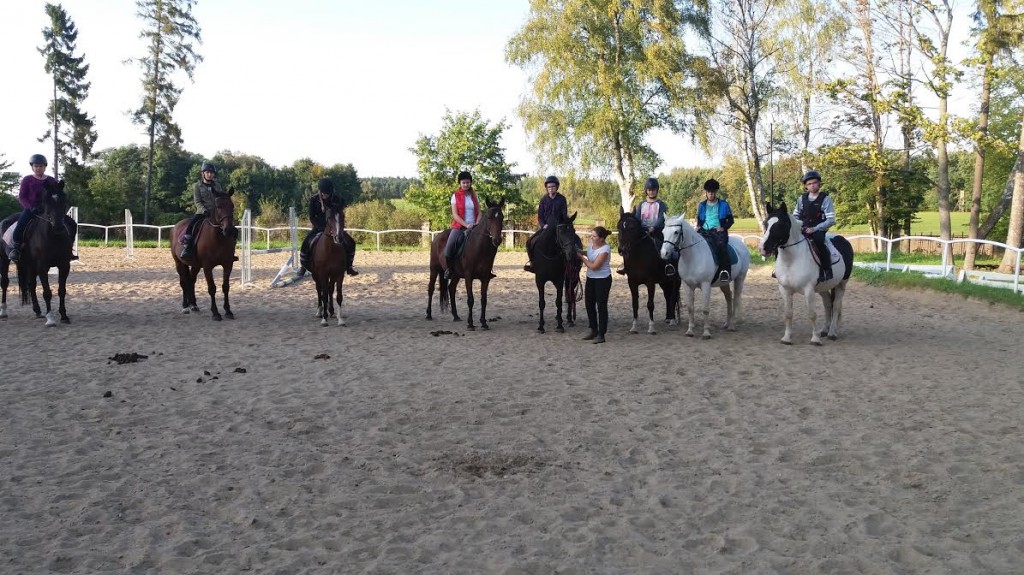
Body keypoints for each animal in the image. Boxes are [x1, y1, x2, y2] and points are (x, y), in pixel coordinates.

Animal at [0, 183, 74, 326]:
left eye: (63, 199)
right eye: (46, 201)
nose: (58, 226)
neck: (53, 236)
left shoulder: (64, 265)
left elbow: (62, 290)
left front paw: (64, 316)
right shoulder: (42, 266)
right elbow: (47, 292)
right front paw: (50, 319)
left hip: (28, 264)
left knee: (31, 284)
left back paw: (38, 311)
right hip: (4, 260)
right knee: (5, 282)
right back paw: (3, 312)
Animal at [170, 190, 238, 321]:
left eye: (232, 206)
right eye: (218, 206)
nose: (228, 230)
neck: (218, 238)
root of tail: (176, 227)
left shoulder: (228, 265)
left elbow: (226, 287)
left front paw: (228, 311)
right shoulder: (207, 267)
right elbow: (212, 288)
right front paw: (215, 313)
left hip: (195, 265)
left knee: (191, 281)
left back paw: (193, 305)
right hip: (179, 263)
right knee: (183, 282)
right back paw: (185, 307)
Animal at [426, 199, 505, 331]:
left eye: (502, 217)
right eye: (489, 217)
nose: (497, 240)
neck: (480, 248)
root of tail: (437, 237)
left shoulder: (485, 278)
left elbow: (484, 300)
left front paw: (483, 323)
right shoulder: (468, 276)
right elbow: (470, 299)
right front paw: (470, 324)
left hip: (456, 275)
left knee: (451, 289)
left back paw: (456, 316)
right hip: (434, 269)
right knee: (431, 289)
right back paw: (428, 314)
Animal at [759, 202, 855, 345]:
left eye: (781, 224)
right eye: (766, 223)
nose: (763, 248)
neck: (791, 261)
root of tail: (844, 240)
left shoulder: (808, 290)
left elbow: (812, 314)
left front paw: (815, 339)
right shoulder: (784, 289)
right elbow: (788, 313)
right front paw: (787, 338)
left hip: (841, 284)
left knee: (836, 306)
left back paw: (832, 333)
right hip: (823, 287)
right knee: (828, 304)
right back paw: (824, 331)